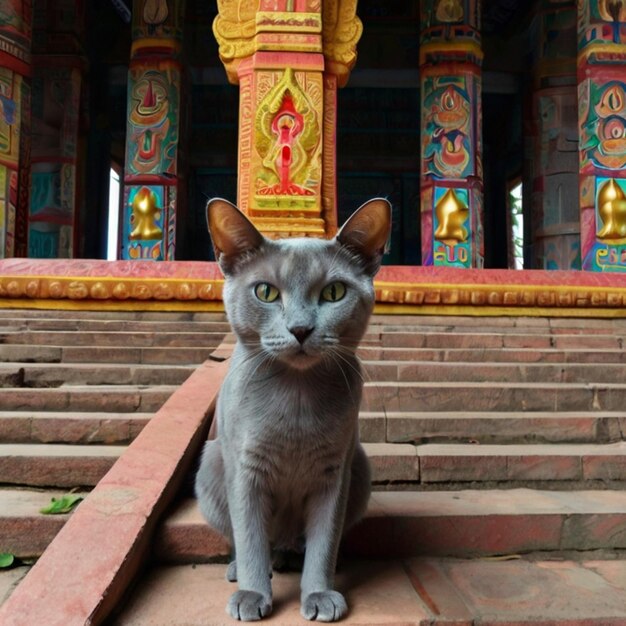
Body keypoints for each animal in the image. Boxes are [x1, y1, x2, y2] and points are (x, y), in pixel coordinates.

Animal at [195, 196, 390, 620]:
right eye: (266, 292)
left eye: (334, 292)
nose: (300, 329)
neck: (297, 398)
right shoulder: (246, 469)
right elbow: (250, 538)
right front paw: (253, 594)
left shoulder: (335, 473)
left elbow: (323, 541)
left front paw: (320, 594)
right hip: (211, 464)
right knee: (249, 542)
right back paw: (242, 570)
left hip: (361, 467)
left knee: (301, 545)